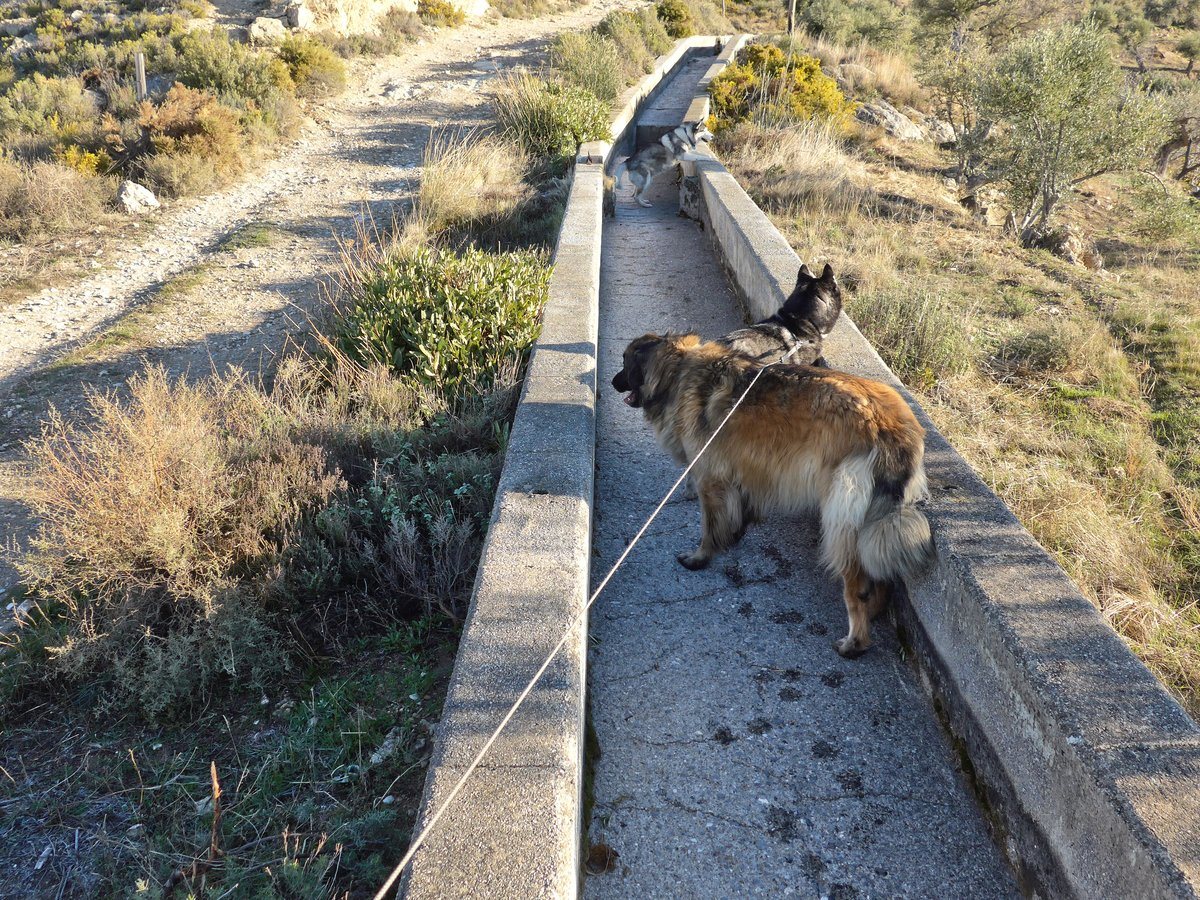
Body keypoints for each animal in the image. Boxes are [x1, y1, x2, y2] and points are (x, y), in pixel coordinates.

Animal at [614, 336, 931, 657]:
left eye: (625, 361)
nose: (614, 383)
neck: (678, 370)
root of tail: (887, 424)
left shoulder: (710, 480)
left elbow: (709, 526)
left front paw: (700, 557)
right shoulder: (747, 472)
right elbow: (740, 511)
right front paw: (733, 536)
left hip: (841, 520)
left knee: (856, 583)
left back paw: (854, 642)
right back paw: (874, 612)